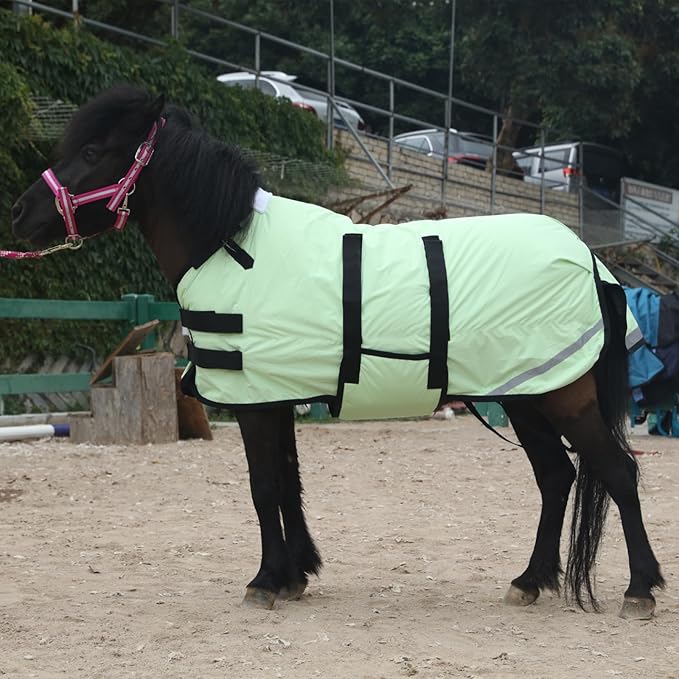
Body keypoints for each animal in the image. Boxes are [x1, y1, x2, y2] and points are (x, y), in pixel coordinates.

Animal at [10, 85, 664, 619]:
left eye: (94, 152)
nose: (20, 213)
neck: (233, 246)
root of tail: (590, 258)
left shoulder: (255, 401)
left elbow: (264, 487)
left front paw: (265, 581)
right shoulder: (278, 395)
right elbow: (287, 483)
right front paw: (295, 574)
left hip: (563, 396)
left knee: (617, 471)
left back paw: (639, 590)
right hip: (526, 394)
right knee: (557, 477)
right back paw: (529, 581)